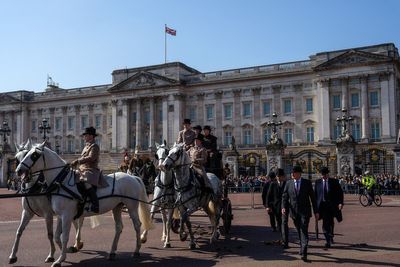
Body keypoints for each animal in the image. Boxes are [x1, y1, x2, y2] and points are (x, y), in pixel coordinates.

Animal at [15, 142, 153, 266]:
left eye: (34, 155)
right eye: (20, 156)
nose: (18, 170)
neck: (61, 183)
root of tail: (133, 177)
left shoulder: (66, 215)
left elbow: (64, 236)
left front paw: (60, 259)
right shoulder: (60, 215)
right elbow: (56, 236)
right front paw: (66, 252)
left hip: (131, 206)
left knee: (137, 225)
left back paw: (136, 250)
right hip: (117, 207)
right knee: (119, 227)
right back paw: (112, 252)